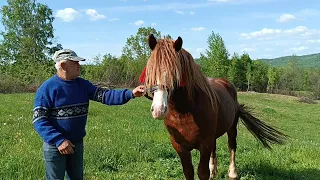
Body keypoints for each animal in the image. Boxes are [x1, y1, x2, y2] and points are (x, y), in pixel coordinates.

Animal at [140, 34, 288, 179]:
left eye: (175, 73)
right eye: (150, 72)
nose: (158, 110)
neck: (185, 112)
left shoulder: (205, 144)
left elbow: (202, 172)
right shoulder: (180, 146)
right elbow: (188, 172)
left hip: (231, 128)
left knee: (232, 146)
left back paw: (232, 173)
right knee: (215, 149)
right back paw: (214, 172)